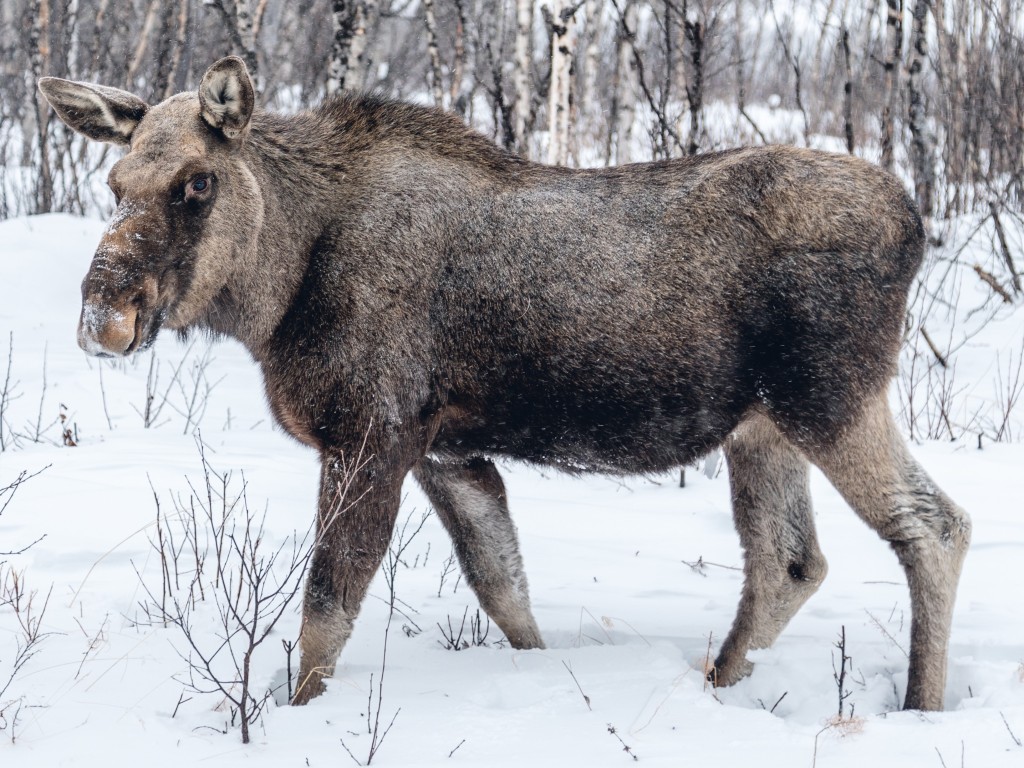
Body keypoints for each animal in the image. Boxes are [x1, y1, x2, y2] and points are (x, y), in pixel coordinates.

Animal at [39, 57, 966, 712]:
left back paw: (920, 706)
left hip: (831, 398)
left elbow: (327, 608)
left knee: (933, 525)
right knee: (789, 560)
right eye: (114, 184)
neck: (278, 287)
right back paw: (720, 684)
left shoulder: (370, 435)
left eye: (197, 182)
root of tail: (917, 224)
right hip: (762, 428)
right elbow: (503, 585)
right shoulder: (446, 451)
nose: (103, 313)